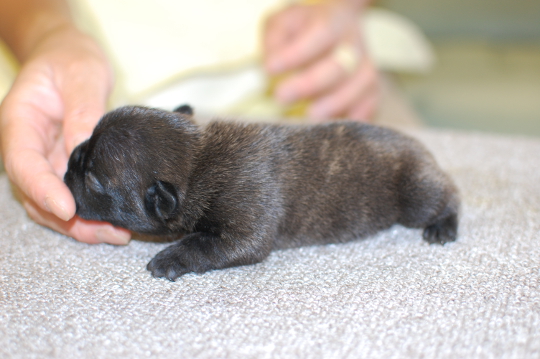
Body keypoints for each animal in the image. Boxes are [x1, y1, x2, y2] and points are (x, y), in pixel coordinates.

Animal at [64, 105, 460, 282]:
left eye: (94, 179)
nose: (69, 161)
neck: (198, 161)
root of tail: (421, 149)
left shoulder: (243, 231)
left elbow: (202, 245)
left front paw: (170, 258)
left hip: (414, 194)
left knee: (447, 195)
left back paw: (443, 226)